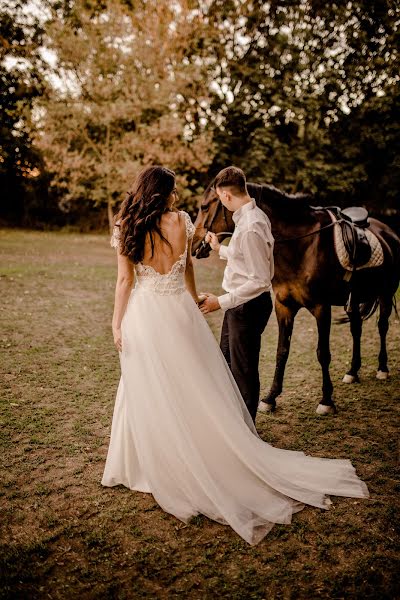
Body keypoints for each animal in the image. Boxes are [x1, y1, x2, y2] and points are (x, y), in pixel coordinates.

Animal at [193, 183, 400, 414]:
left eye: (204, 206)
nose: (194, 242)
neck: (301, 244)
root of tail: (388, 231)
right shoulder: (284, 306)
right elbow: (281, 351)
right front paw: (270, 398)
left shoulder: (321, 307)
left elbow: (323, 353)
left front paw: (326, 400)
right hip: (353, 301)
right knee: (356, 329)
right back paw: (352, 372)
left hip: (386, 293)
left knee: (382, 326)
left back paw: (382, 368)